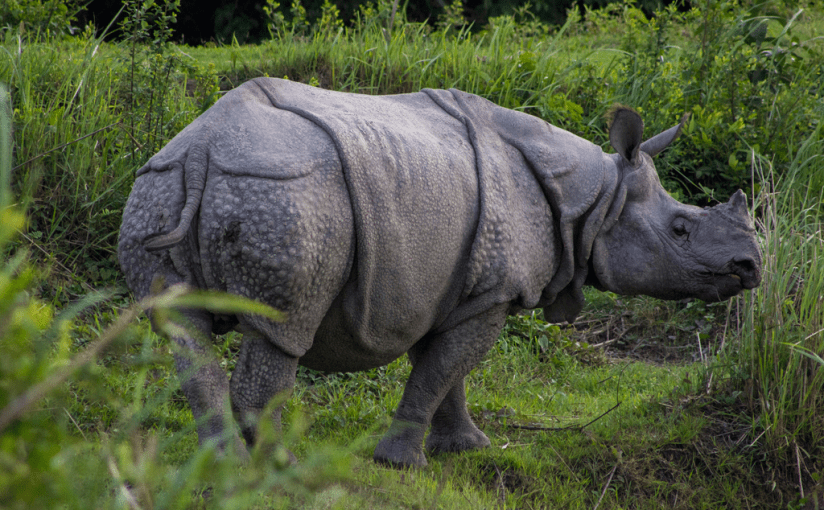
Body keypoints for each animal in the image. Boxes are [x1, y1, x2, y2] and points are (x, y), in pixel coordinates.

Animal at [118, 78, 762, 468]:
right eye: (680, 228)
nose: (750, 267)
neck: (596, 200)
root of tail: (202, 149)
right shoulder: (496, 290)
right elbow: (443, 369)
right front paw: (402, 461)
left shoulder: (458, 286)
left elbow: (447, 371)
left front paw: (466, 447)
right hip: (285, 196)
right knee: (281, 328)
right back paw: (282, 468)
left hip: (159, 185)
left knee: (182, 330)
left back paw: (220, 464)